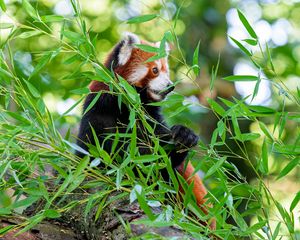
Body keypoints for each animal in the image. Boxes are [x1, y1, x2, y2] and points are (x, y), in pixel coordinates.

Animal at [76, 32, 214, 230]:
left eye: (166, 70)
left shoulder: (152, 121)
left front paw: (184, 136)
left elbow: (164, 162)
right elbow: (99, 155)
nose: (170, 86)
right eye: (155, 70)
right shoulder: (97, 114)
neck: (129, 107)